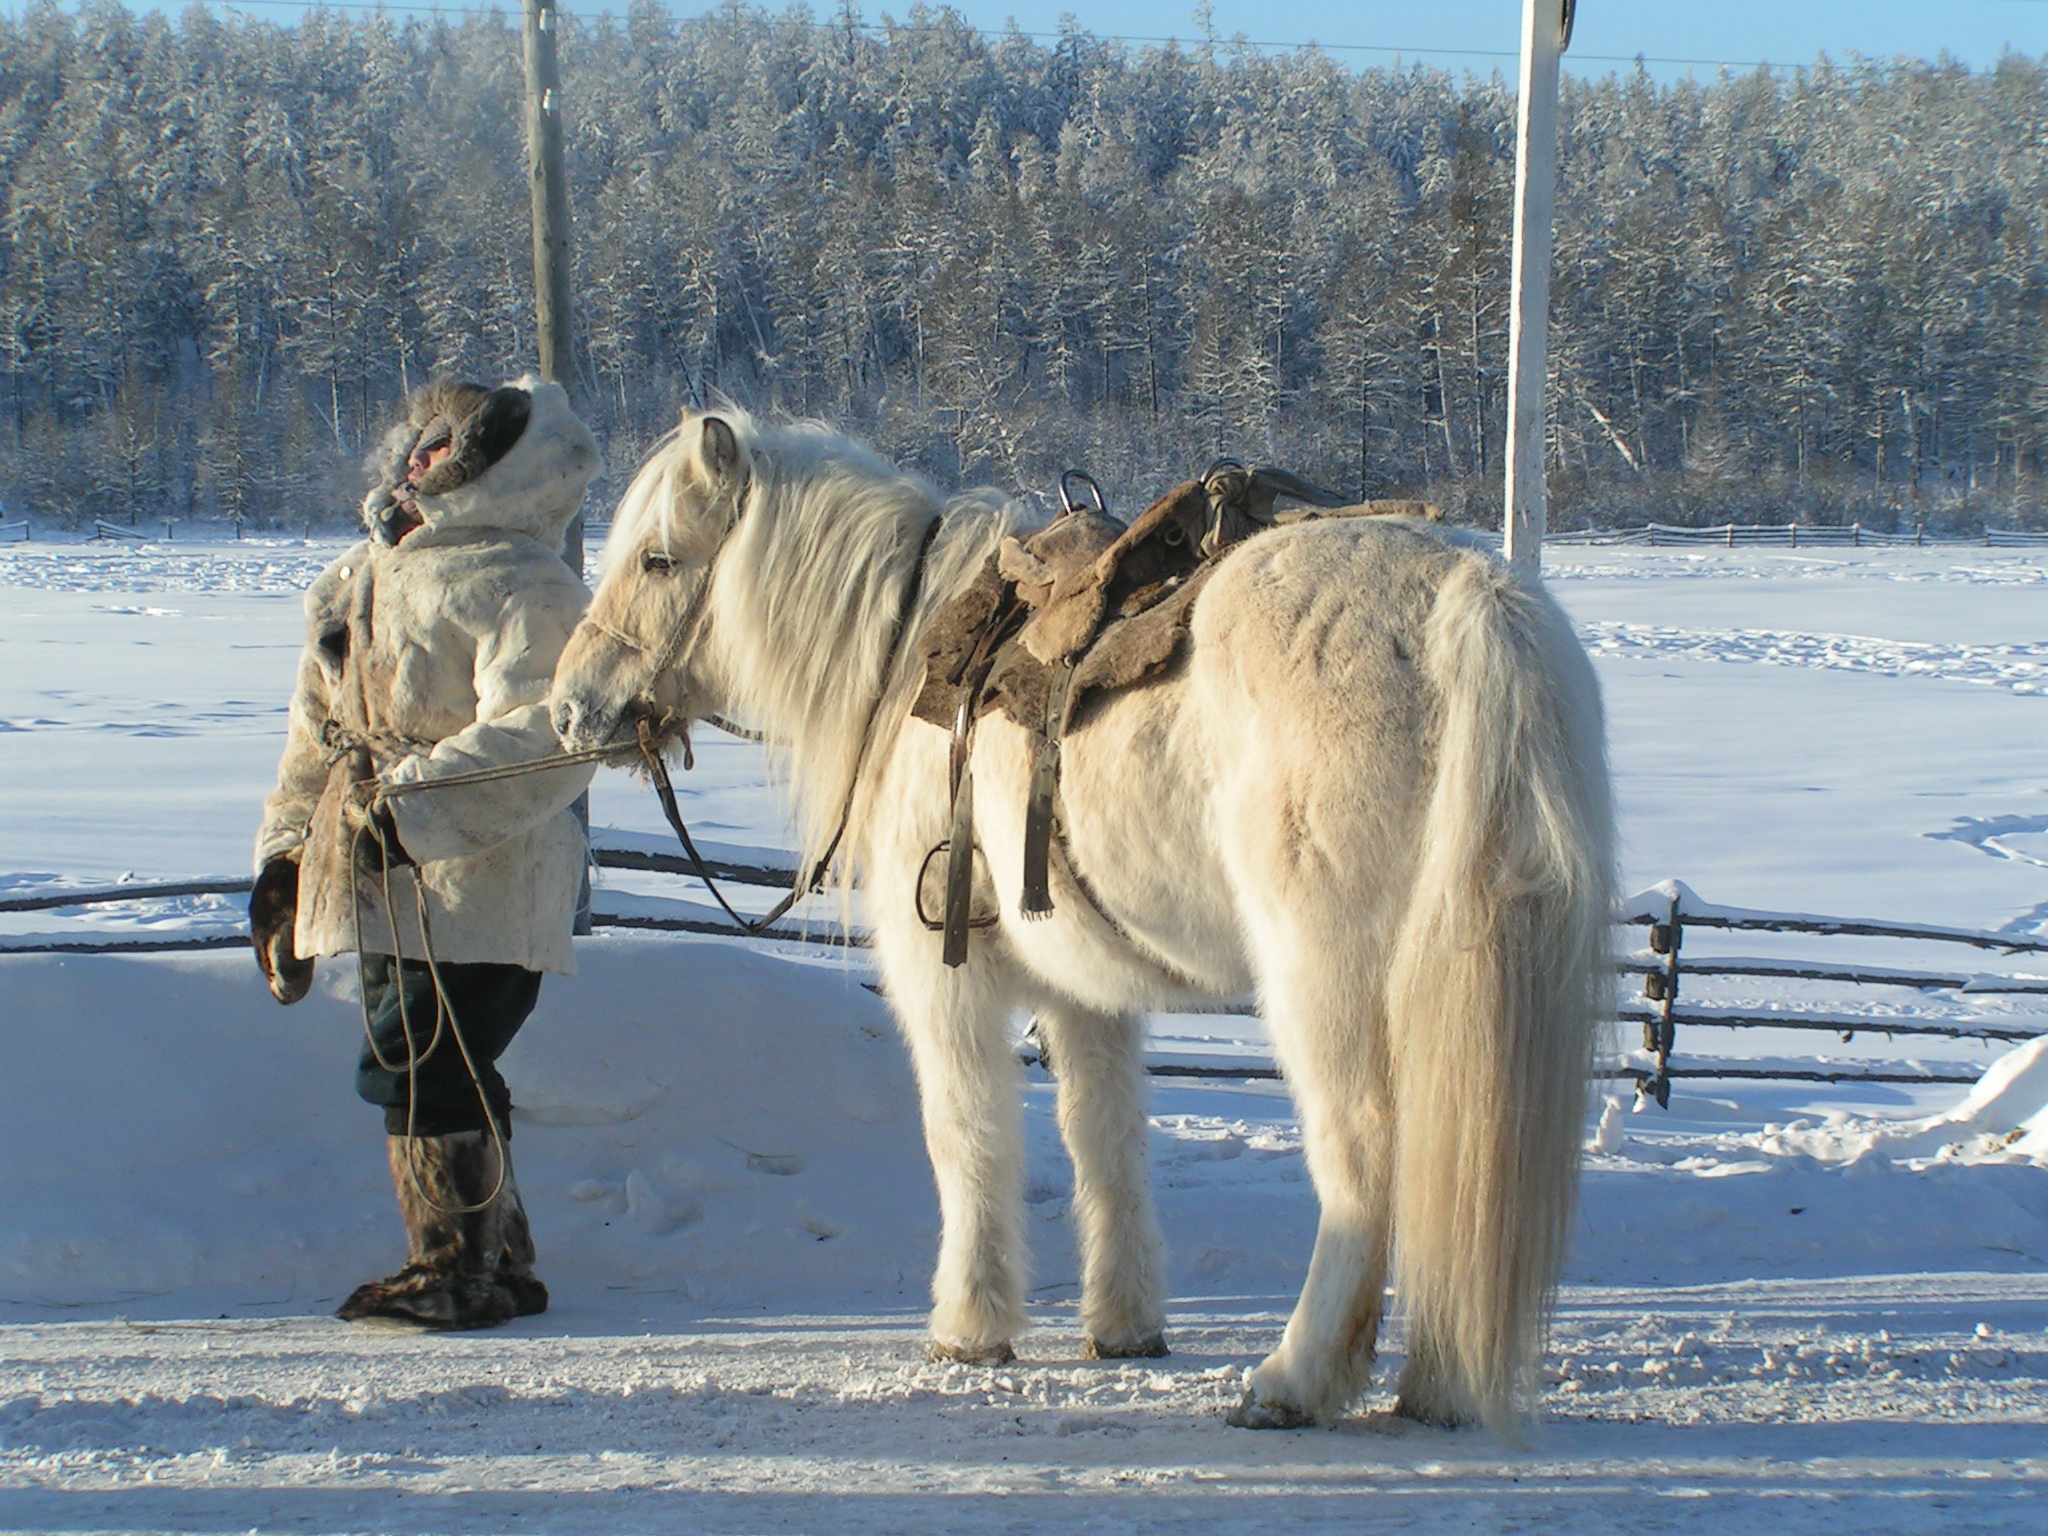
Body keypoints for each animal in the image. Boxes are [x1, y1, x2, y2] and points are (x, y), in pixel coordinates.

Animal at [548, 411, 1613, 1441]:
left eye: (657, 559)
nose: (568, 707)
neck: (904, 660)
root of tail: (1470, 597)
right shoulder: (1088, 994)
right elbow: (1105, 1141)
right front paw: (1125, 1325)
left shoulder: (947, 980)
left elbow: (969, 1136)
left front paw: (970, 1328)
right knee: (1460, 1166)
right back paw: (1440, 1383)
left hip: (1328, 982)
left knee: (1368, 1160)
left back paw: (1296, 1381)